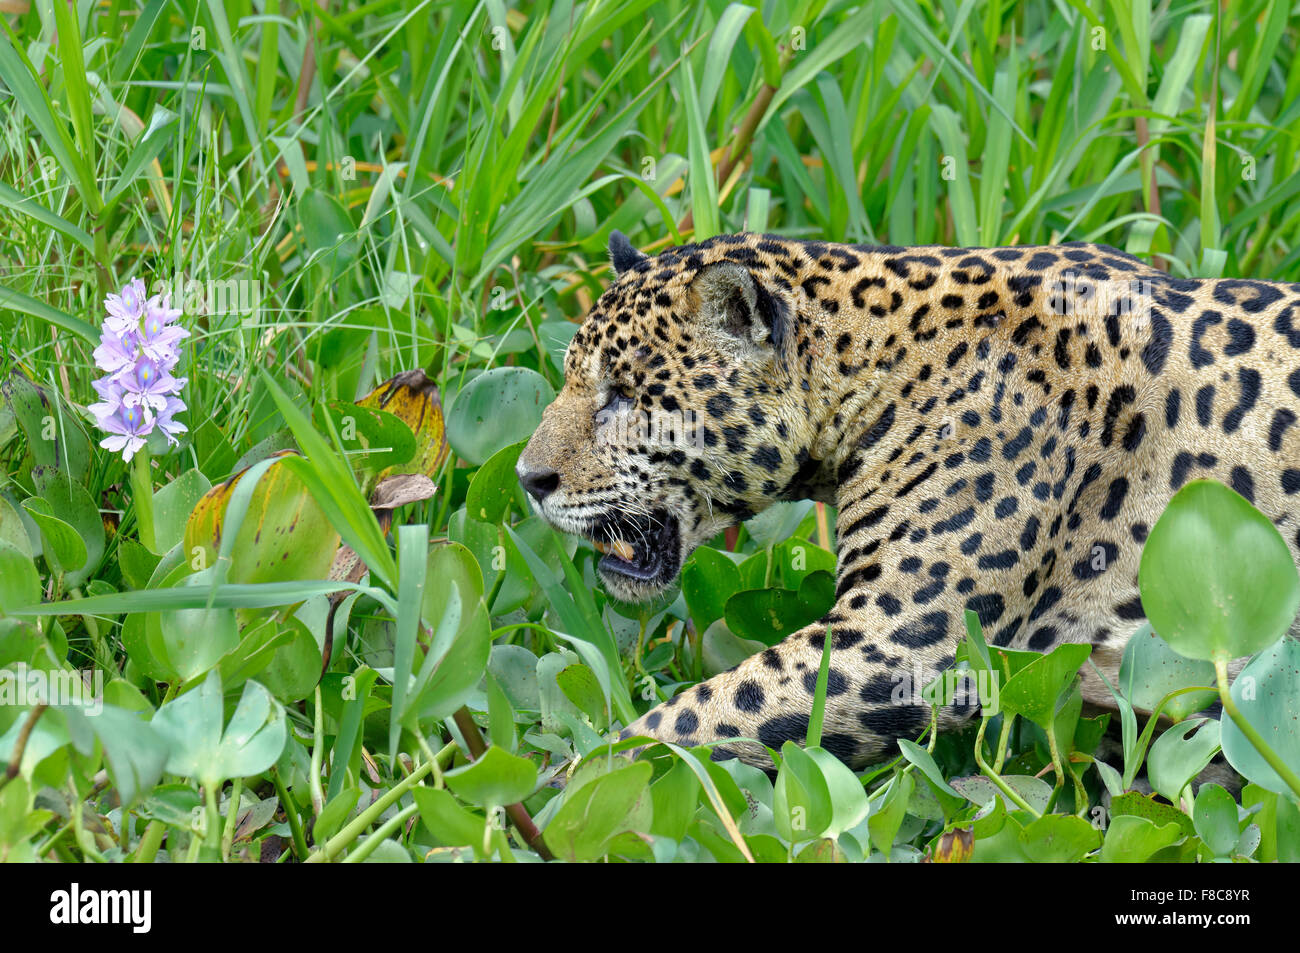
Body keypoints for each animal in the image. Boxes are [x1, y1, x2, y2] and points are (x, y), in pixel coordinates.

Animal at [515, 230, 1300, 770]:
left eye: (624, 396)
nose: (527, 478)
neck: (878, 368)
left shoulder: (899, 642)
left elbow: (689, 722)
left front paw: (566, 785)